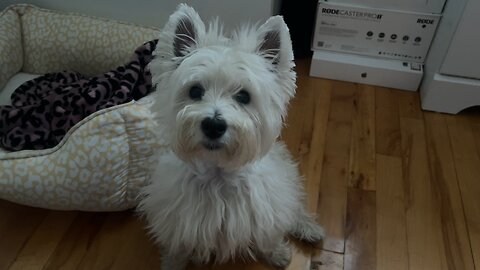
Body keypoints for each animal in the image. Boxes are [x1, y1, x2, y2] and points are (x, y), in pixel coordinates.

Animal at [140, 3, 326, 268]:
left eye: (244, 96)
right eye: (195, 91)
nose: (213, 125)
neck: (218, 174)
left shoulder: (265, 208)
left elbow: (269, 233)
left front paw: (277, 253)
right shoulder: (178, 219)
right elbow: (178, 245)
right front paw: (172, 264)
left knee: (294, 205)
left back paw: (309, 228)